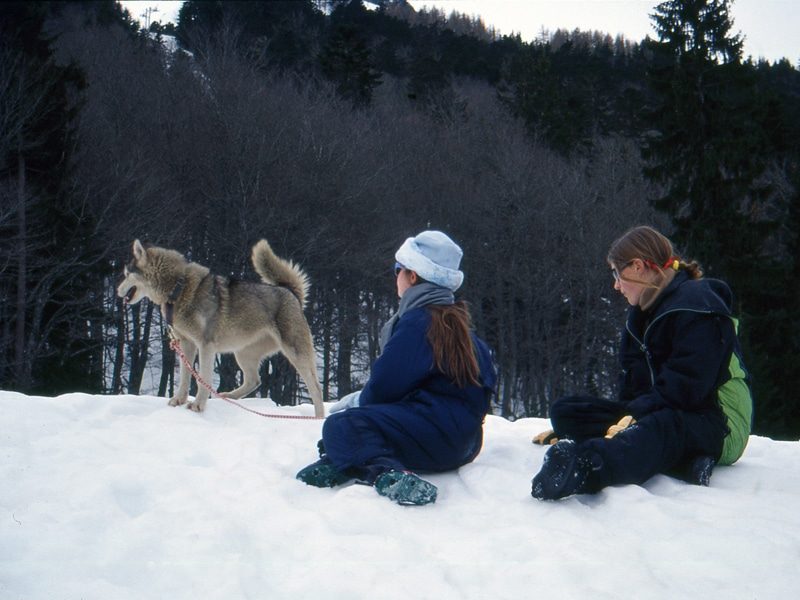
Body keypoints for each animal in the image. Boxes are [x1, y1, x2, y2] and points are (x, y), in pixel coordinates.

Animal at [117, 239, 324, 418]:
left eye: (126, 275)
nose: (118, 291)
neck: (178, 287)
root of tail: (291, 292)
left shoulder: (205, 345)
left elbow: (203, 379)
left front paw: (197, 406)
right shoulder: (186, 344)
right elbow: (185, 377)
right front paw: (179, 400)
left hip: (295, 354)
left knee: (316, 388)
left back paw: (318, 418)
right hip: (242, 354)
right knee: (254, 380)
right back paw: (227, 396)